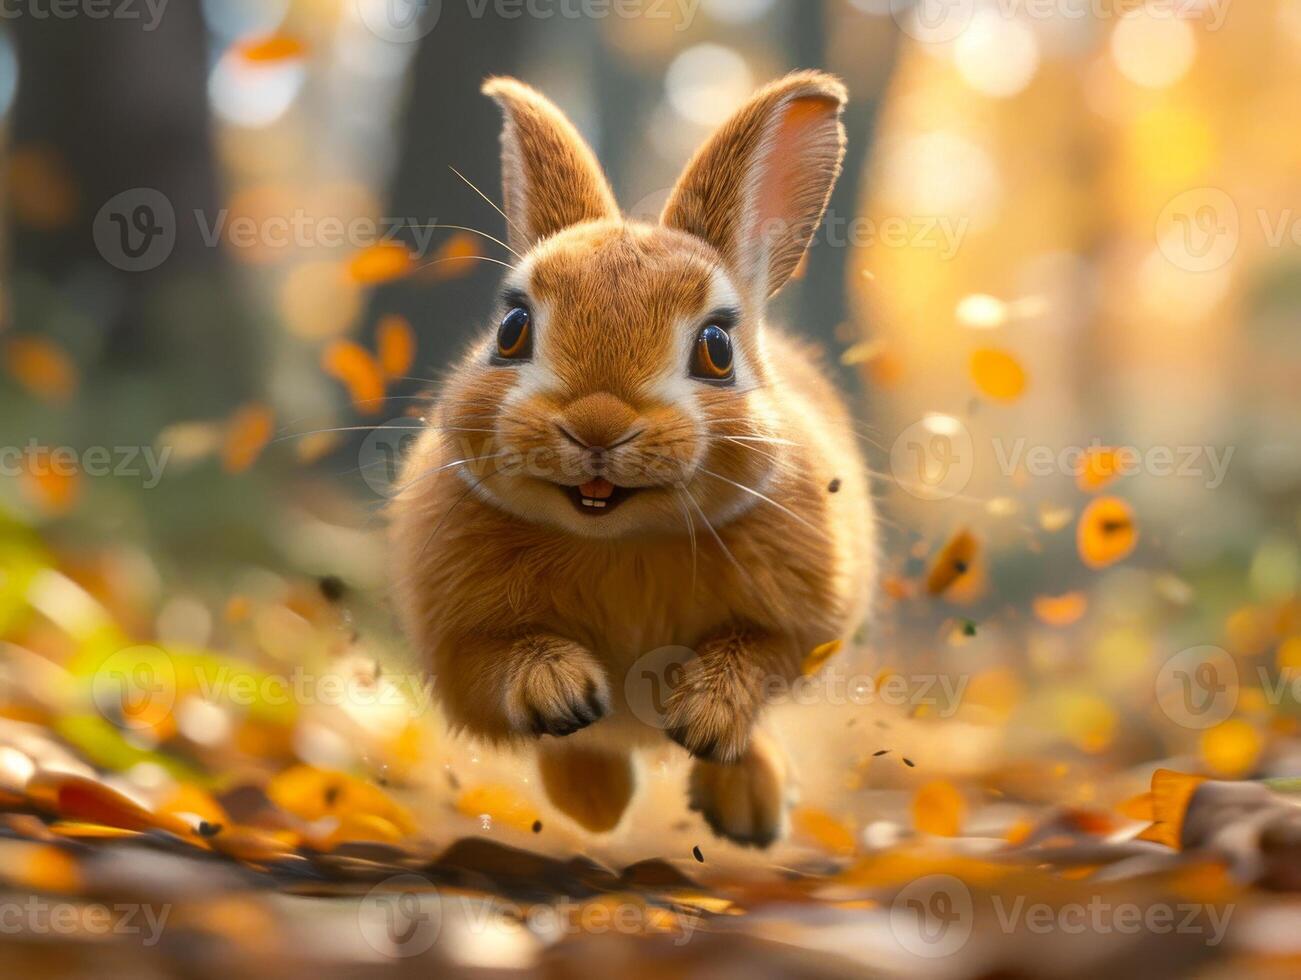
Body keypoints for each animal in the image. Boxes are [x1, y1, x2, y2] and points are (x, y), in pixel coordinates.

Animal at [385, 70, 874, 848]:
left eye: (716, 348)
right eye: (512, 329)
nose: (597, 425)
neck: (619, 536)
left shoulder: (802, 623)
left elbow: (758, 658)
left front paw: (701, 719)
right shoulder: (456, 640)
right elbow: (499, 665)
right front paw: (563, 694)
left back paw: (748, 812)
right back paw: (597, 806)